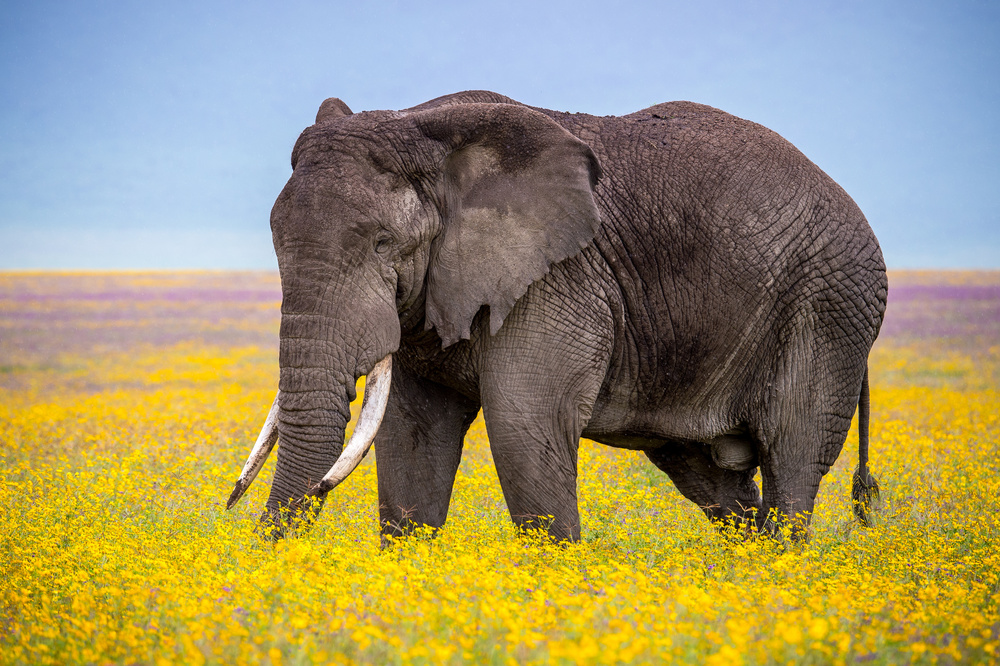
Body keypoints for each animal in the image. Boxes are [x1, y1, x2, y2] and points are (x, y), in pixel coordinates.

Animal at [225, 91, 884, 544]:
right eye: (277, 242)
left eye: (385, 243)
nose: (233, 510)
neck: (428, 133)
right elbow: (411, 436)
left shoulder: (554, 281)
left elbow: (524, 423)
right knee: (715, 480)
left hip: (830, 307)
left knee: (792, 459)